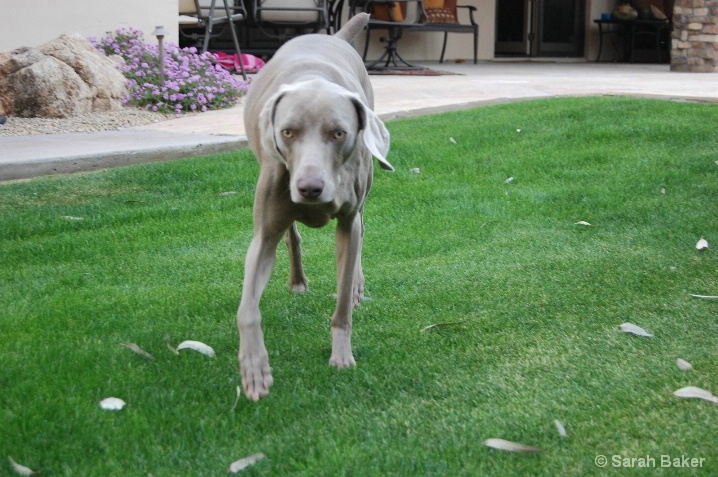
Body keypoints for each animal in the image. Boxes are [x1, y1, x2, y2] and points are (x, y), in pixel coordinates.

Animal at [238, 13, 394, 398]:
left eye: (338, 133)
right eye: (288, 132)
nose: (310, 188)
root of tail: (333, 36)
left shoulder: (348, 222)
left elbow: (343, 299)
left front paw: (341, 355)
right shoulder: (263, 233)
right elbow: (247, 308)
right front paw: (254, 367)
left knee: (362, 234)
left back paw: (357, 287)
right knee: (292, 234)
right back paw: (297, 280)